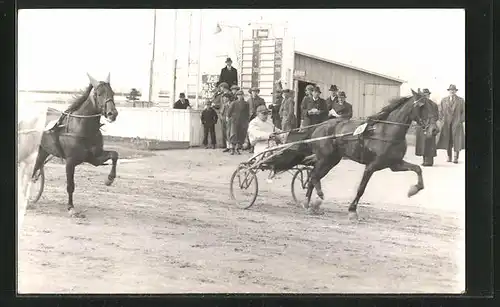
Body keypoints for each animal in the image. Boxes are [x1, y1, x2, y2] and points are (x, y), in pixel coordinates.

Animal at [32, 74, 120, 219]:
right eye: (99, 94)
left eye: (112, 93)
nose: (112, 113)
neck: (82, 128)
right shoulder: (70, 162)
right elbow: (70, 185)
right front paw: (71, 208)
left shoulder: (94, 158)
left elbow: (114, 155)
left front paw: (109, 179)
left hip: (43, 150)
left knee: (35, 168)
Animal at [304, 89, 438, 221]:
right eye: (422, 106)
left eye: (434, 106)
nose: (434, 130)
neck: (386, 132)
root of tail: (319, 126)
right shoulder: (371, 166)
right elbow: (361, 189)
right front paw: (352, 210)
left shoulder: (395, 164)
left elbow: (417, 168)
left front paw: (413, 190)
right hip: (325, 159)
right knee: (314, 176)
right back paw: (316, 199)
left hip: (332, 160)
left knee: (313, 177)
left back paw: (309, 204)